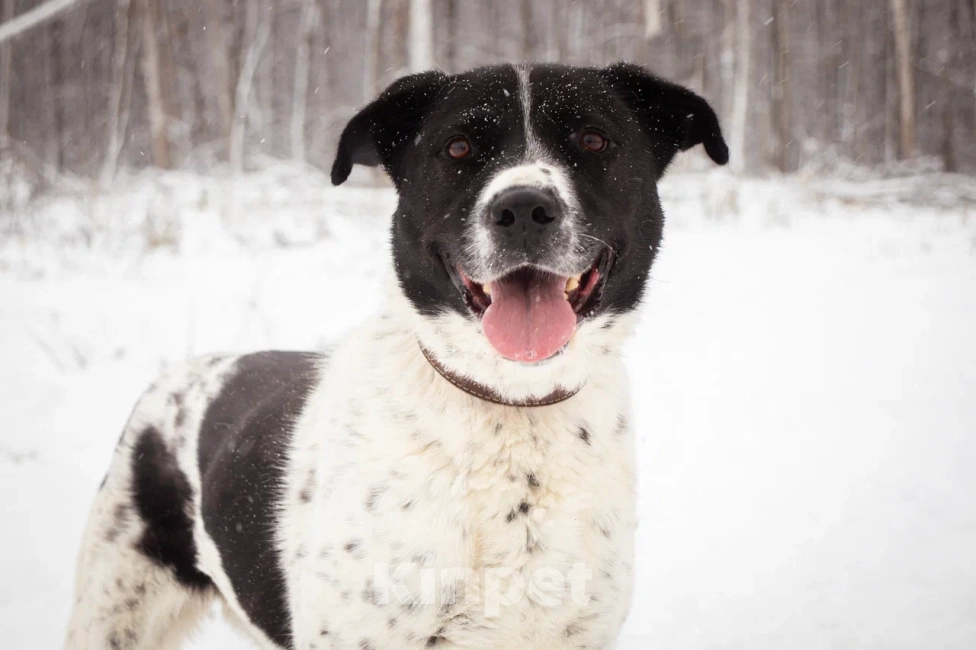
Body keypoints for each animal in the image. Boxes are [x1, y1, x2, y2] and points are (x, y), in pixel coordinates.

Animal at [66, 62, 724, 648]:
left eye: (593, 139)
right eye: (457, 147)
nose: (523, 209)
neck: (511, 407)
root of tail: (182, 374)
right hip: (112, 610)